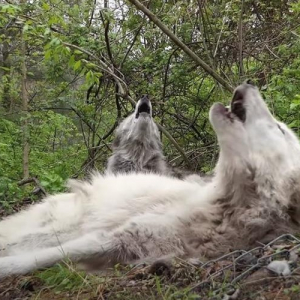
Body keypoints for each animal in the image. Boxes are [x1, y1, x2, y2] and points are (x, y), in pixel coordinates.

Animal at [0, 81, 300, 276]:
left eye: (280, 129)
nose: (249, 82)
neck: (223, 209)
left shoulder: (124, 244)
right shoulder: (113, 236)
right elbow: (28, 261)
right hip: (51, 226)